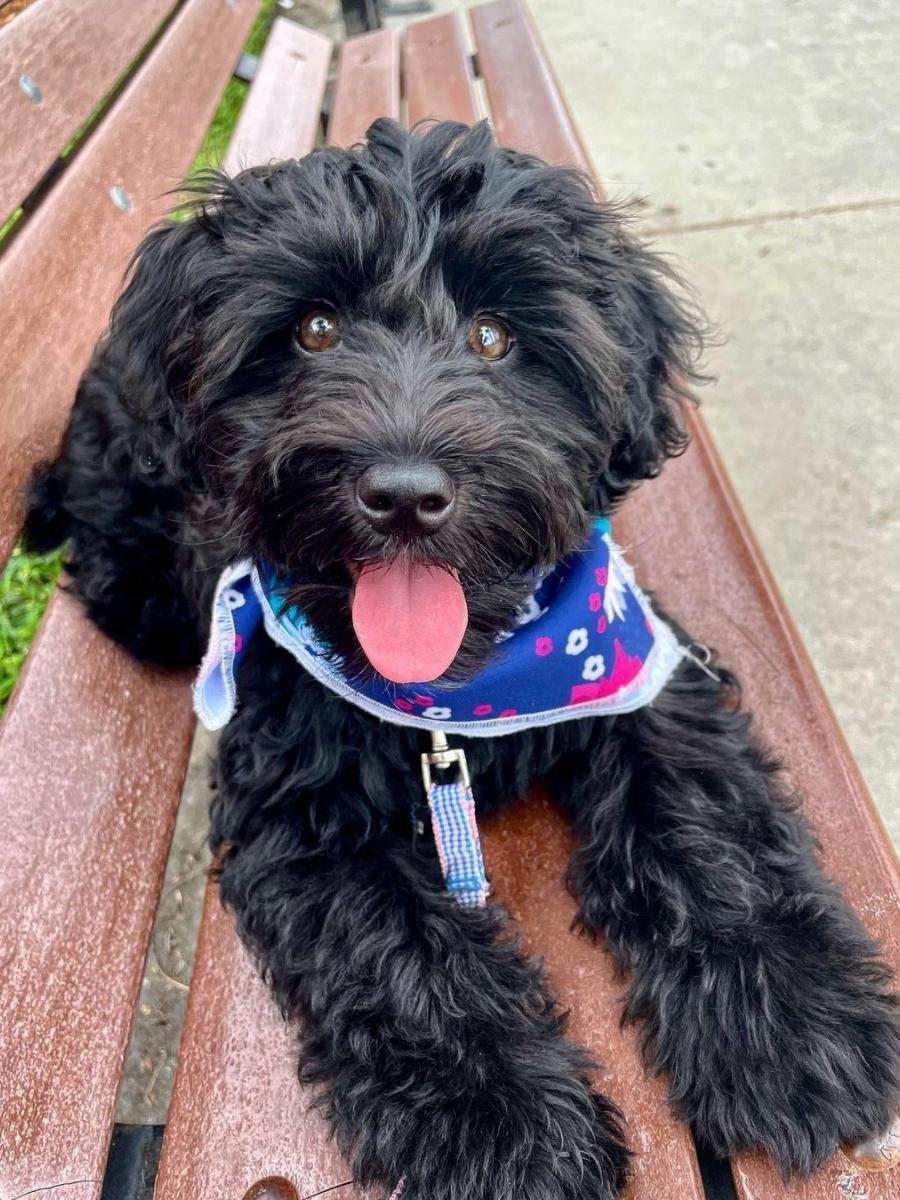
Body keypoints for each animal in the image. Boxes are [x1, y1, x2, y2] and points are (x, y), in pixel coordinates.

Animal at [24, 124, 897, 1200]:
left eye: (493, 336)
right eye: (314, 329)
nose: (404, 494)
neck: (463, 688)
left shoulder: (646, 673)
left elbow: (712, 831)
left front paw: (791, 1027)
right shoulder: (301, 813)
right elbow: (403, 957)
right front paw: (507, 1128)